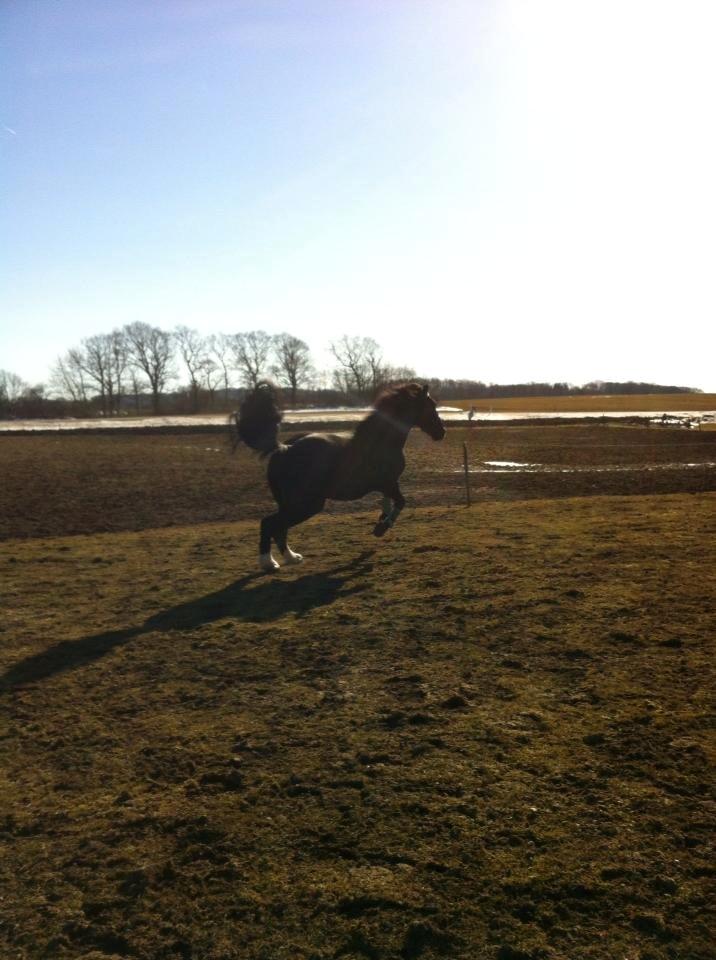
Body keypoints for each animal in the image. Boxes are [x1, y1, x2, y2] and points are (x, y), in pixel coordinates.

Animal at [235, 382, 444, 572]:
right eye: (431, 406)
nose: (441, 432)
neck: (381, 441)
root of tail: (284, 448)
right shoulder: (389, 483)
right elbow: (401, 502)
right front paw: (382, 527)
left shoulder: (387, 484)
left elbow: (388, 502)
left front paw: (381, 520)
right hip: (307, 504)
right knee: (269, 524)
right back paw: (269, 563)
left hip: (289, 503)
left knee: (280, 529)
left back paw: (292, 557)